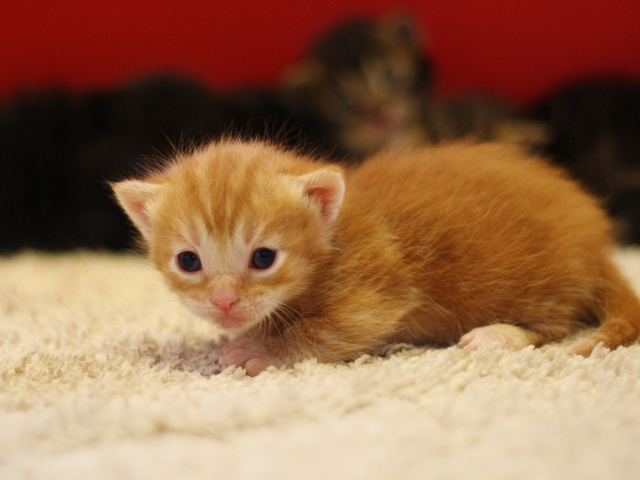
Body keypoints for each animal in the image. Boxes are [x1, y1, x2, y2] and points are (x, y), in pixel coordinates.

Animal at [112, 139, 640, 376]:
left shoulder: (373, 288)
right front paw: (239, 333)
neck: (336, 232)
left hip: (536, 284)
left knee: (555, 325)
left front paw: (260, 349)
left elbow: (325, 330)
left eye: (263, 258)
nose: (223, 302)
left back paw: (499, 335)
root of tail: (593, 241)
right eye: (188, 262)